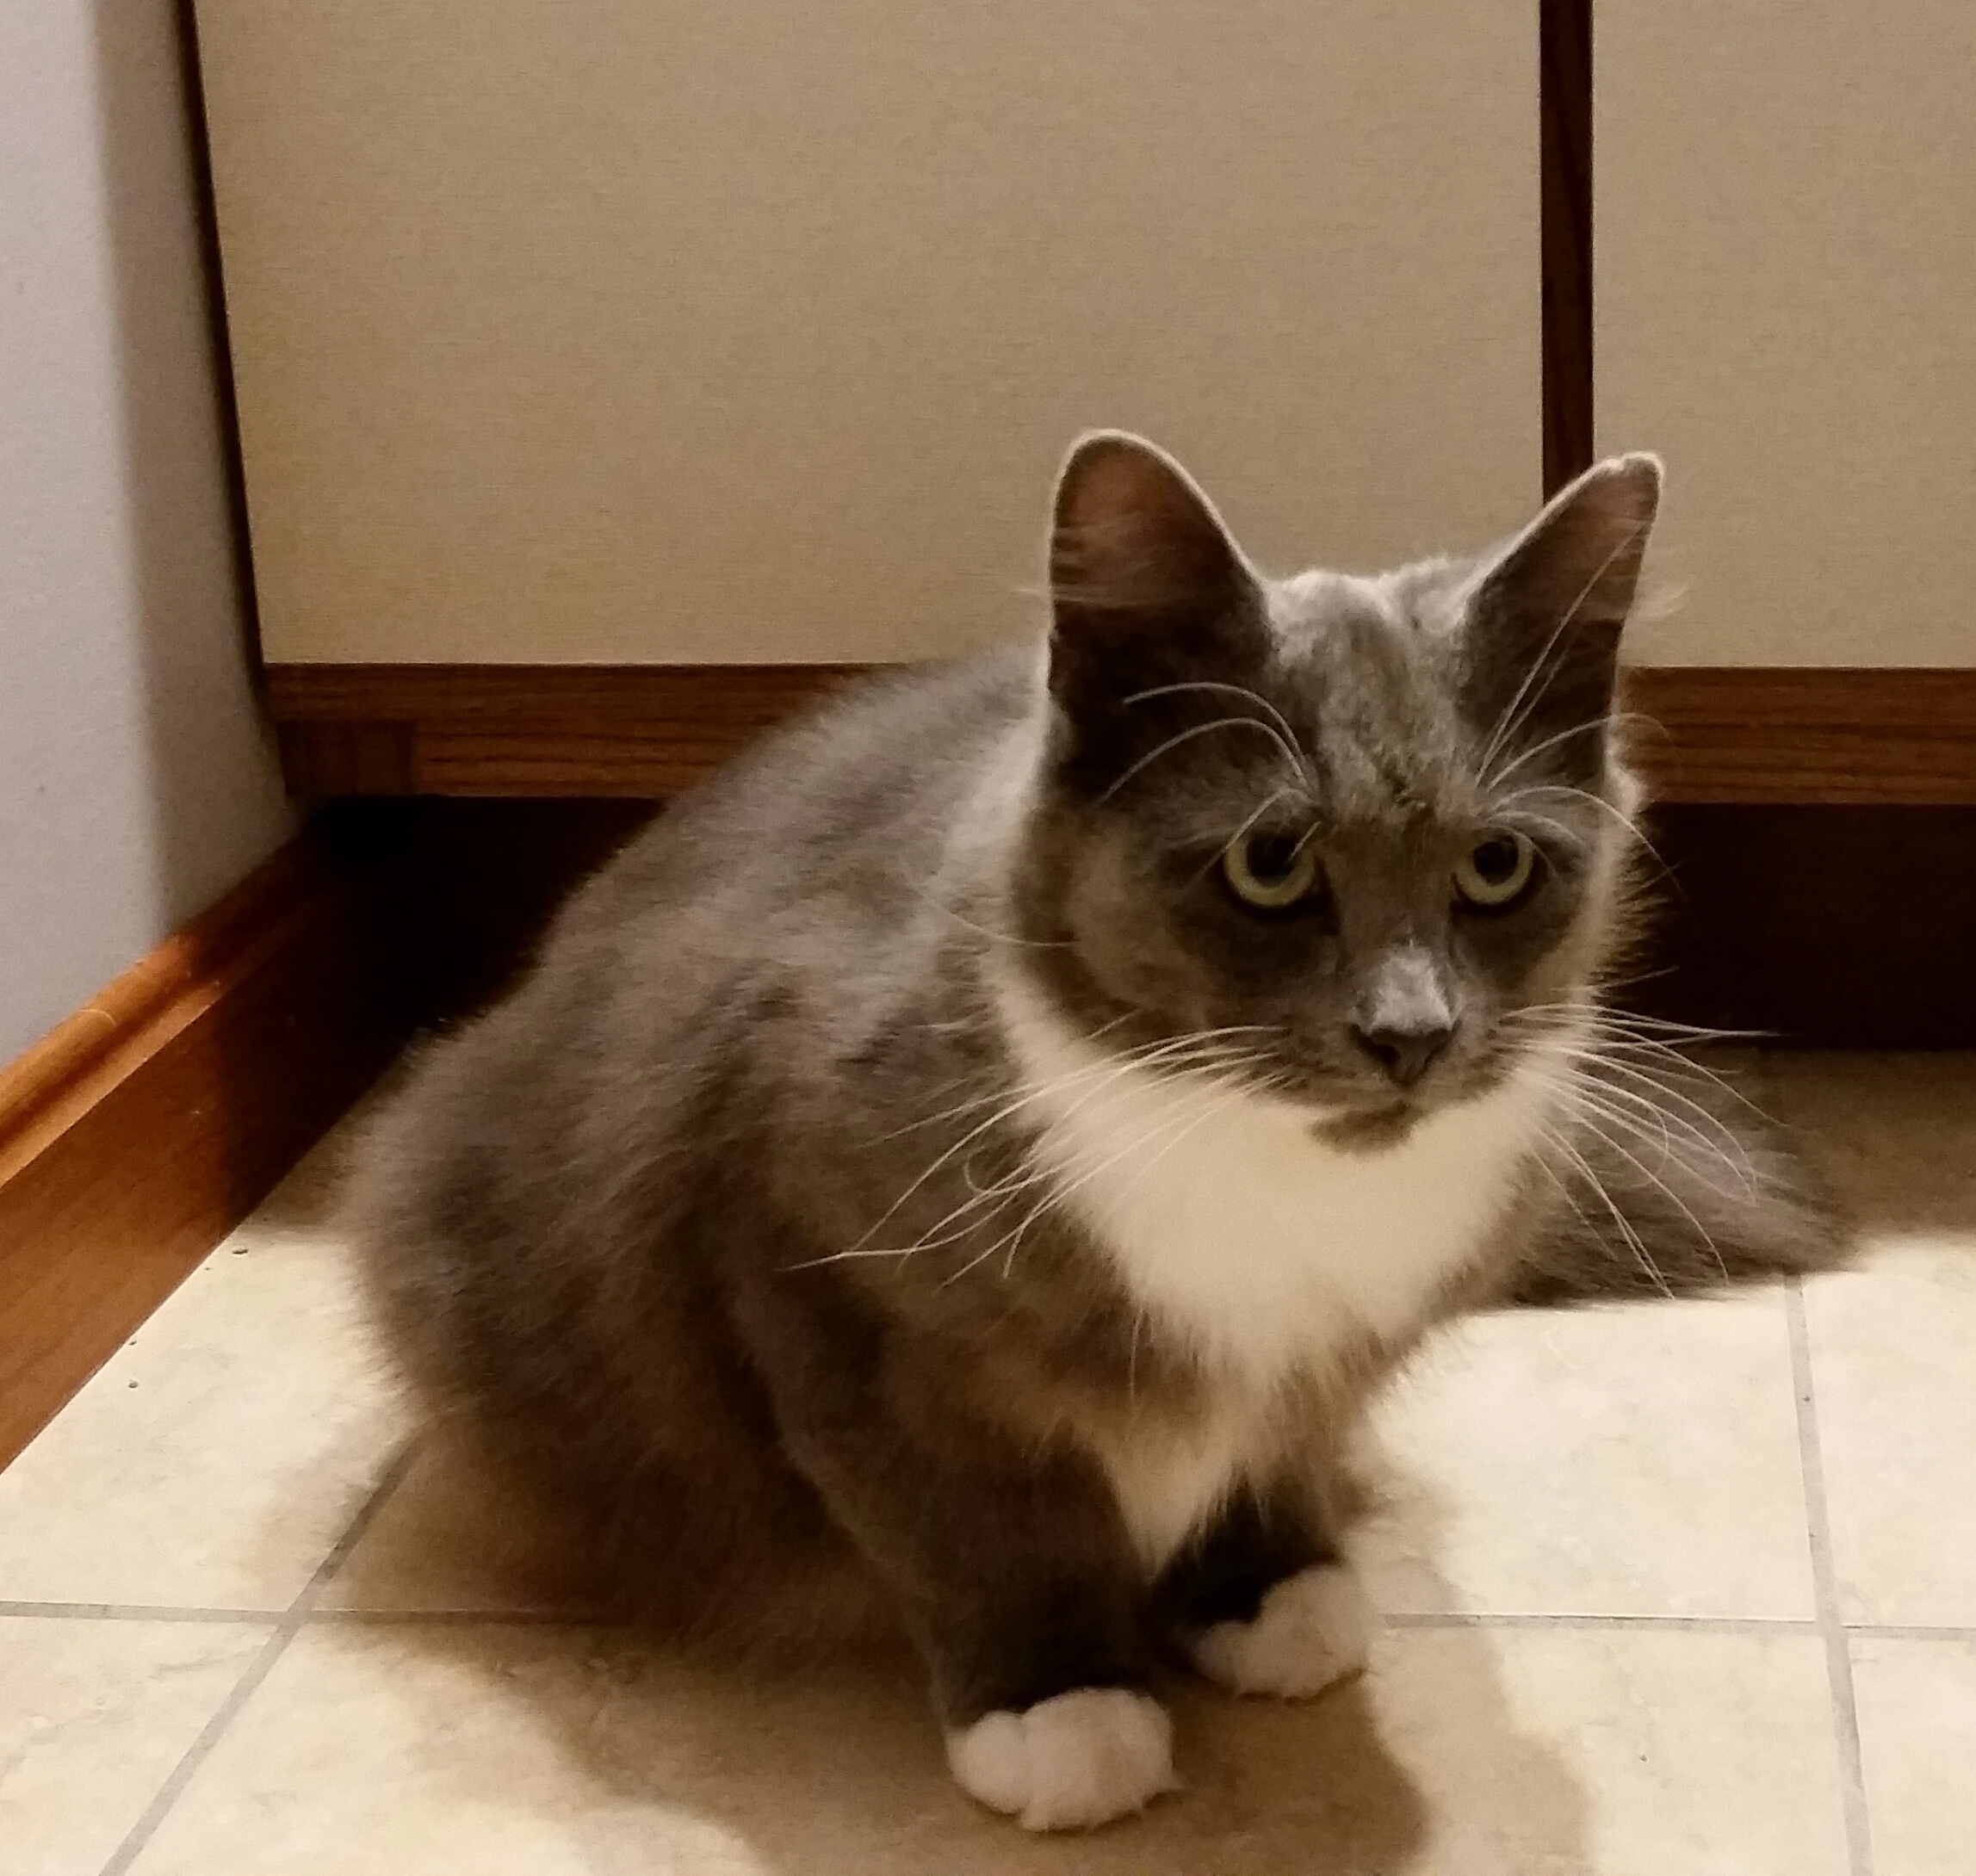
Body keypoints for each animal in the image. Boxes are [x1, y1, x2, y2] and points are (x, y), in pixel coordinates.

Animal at [347, 429, 1841, 1826]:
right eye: (1268, 862)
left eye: (1495, 865)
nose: (1407, 1033)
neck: (1267, 1176)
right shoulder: (820, 1289)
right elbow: (977, 1527)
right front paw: (1057, 1705)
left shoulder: (1327, 1352)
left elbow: (1268, 1449)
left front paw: (1262, 1593)